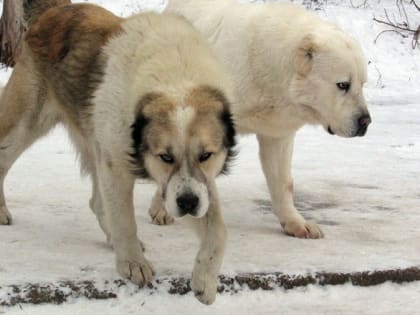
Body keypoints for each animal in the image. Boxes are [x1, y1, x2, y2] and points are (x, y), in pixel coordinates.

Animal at [0, 1, 236, 304]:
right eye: (166, 157)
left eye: (206, 156)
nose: (187, 203)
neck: (175, 78)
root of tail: (57, 10)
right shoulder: (117, 166)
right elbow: (125, 220)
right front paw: (132, 263)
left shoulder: (199, 185)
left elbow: (218, 231)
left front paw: (204, 279)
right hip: (24, 124)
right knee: (4, 160)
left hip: (93, 139)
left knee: (97, 202)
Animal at [161, 0, 370, 238]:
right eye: (343, 85)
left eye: (362, 84)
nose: (365, 121)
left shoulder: (278, 129)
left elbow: (283, 181)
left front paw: (296, 223)